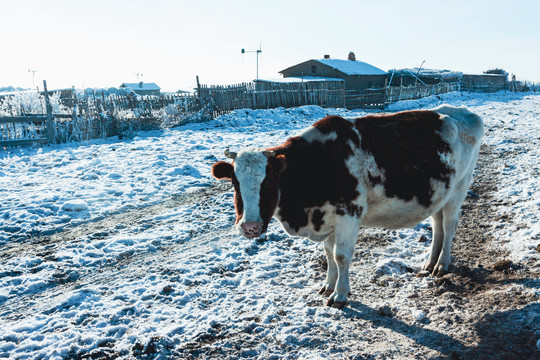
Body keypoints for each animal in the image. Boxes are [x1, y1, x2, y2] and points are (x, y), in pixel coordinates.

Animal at [212, 105, 486, 310]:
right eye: (234, 182)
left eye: (268, 180)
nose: (250, 226)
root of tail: (464, 112)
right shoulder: (326, 217)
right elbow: (328, 253)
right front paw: (328, 286)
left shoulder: (348, 214)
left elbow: (341, 256)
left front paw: (340, 295)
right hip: (441, 194)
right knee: (438, 225)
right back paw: (429, 264)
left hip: (460, 187)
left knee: (450, 225)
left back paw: (442, 265)